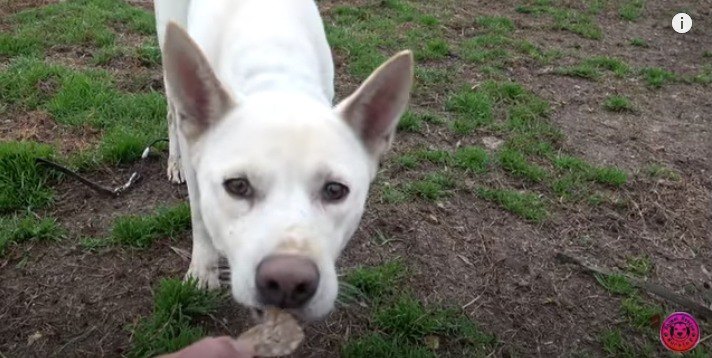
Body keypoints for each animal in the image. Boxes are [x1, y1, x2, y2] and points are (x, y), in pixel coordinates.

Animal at [153, 0, 414, 320]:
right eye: (237, 186)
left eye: (335, 190)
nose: (288, 281)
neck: (276, 77)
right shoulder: (196, 168)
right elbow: (199, 215)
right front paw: (203, 271)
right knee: (172, 113)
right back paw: (174, 162)